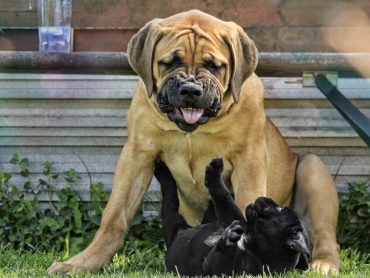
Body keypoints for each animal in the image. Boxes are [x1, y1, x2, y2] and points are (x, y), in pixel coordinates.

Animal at [153, 157, 310, 276]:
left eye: (279, 208)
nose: (265, 198)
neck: (252, 244)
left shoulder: (214, 268)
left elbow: (223, 198)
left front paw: (230, 237)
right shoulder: (233, 219)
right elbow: (225, 200)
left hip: (171, 221)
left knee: (169, 197)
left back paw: (161, 170)